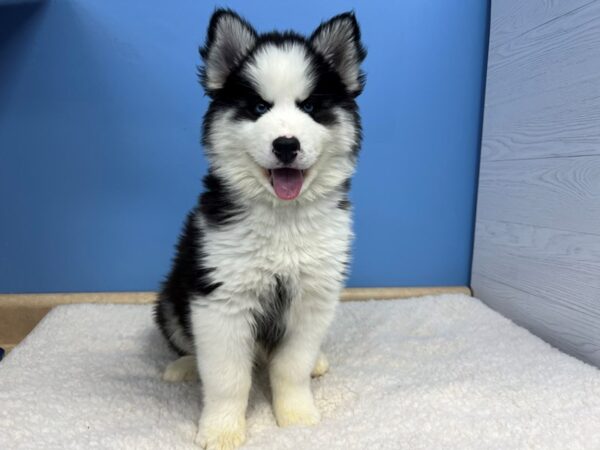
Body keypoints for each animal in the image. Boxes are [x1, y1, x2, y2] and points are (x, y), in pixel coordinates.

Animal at [155, 7, 366, 450]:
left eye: (311, 107)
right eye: (257, 107)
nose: (286, 144)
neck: (282, 220)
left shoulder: (312, 299)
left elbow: (291, 367)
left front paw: (298, 418)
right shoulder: (222, 300)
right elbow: (227, 378)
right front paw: (221, 429)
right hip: (171, 297)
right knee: (187, 343)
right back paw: (185, 366)